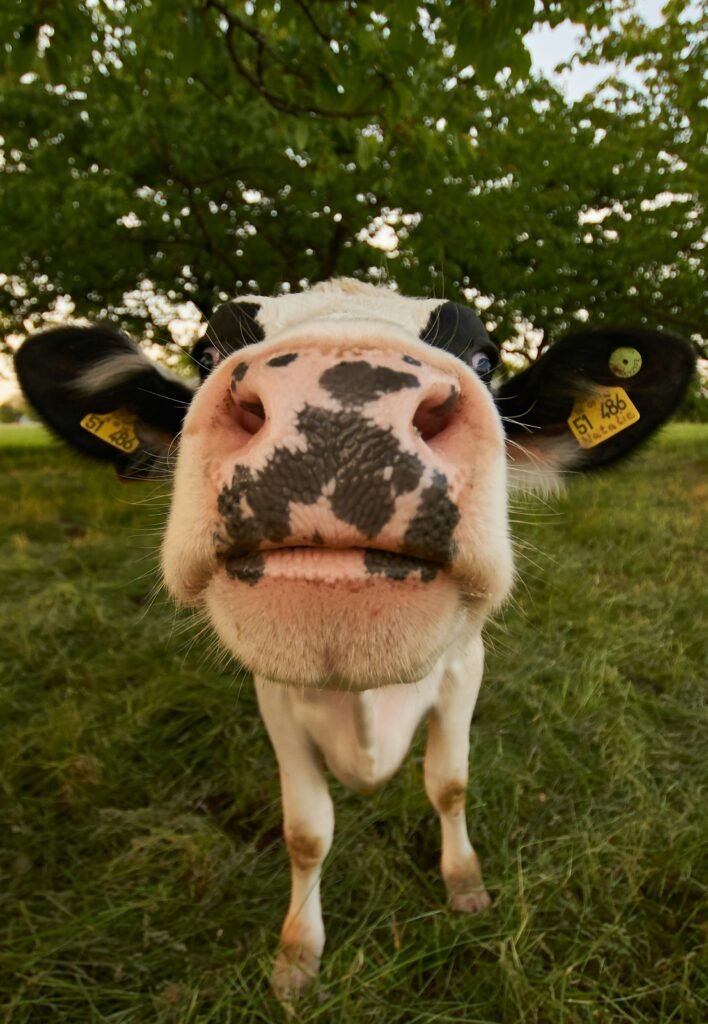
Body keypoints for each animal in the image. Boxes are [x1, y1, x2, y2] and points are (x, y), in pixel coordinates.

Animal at [15, 279, 695, 998]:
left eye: (484, 358)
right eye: (205, 353)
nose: (339, 410)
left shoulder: (464, 668)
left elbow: (449, 784)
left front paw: (464, 881)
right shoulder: (276, 698)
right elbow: (307, 833)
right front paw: (297, 953)